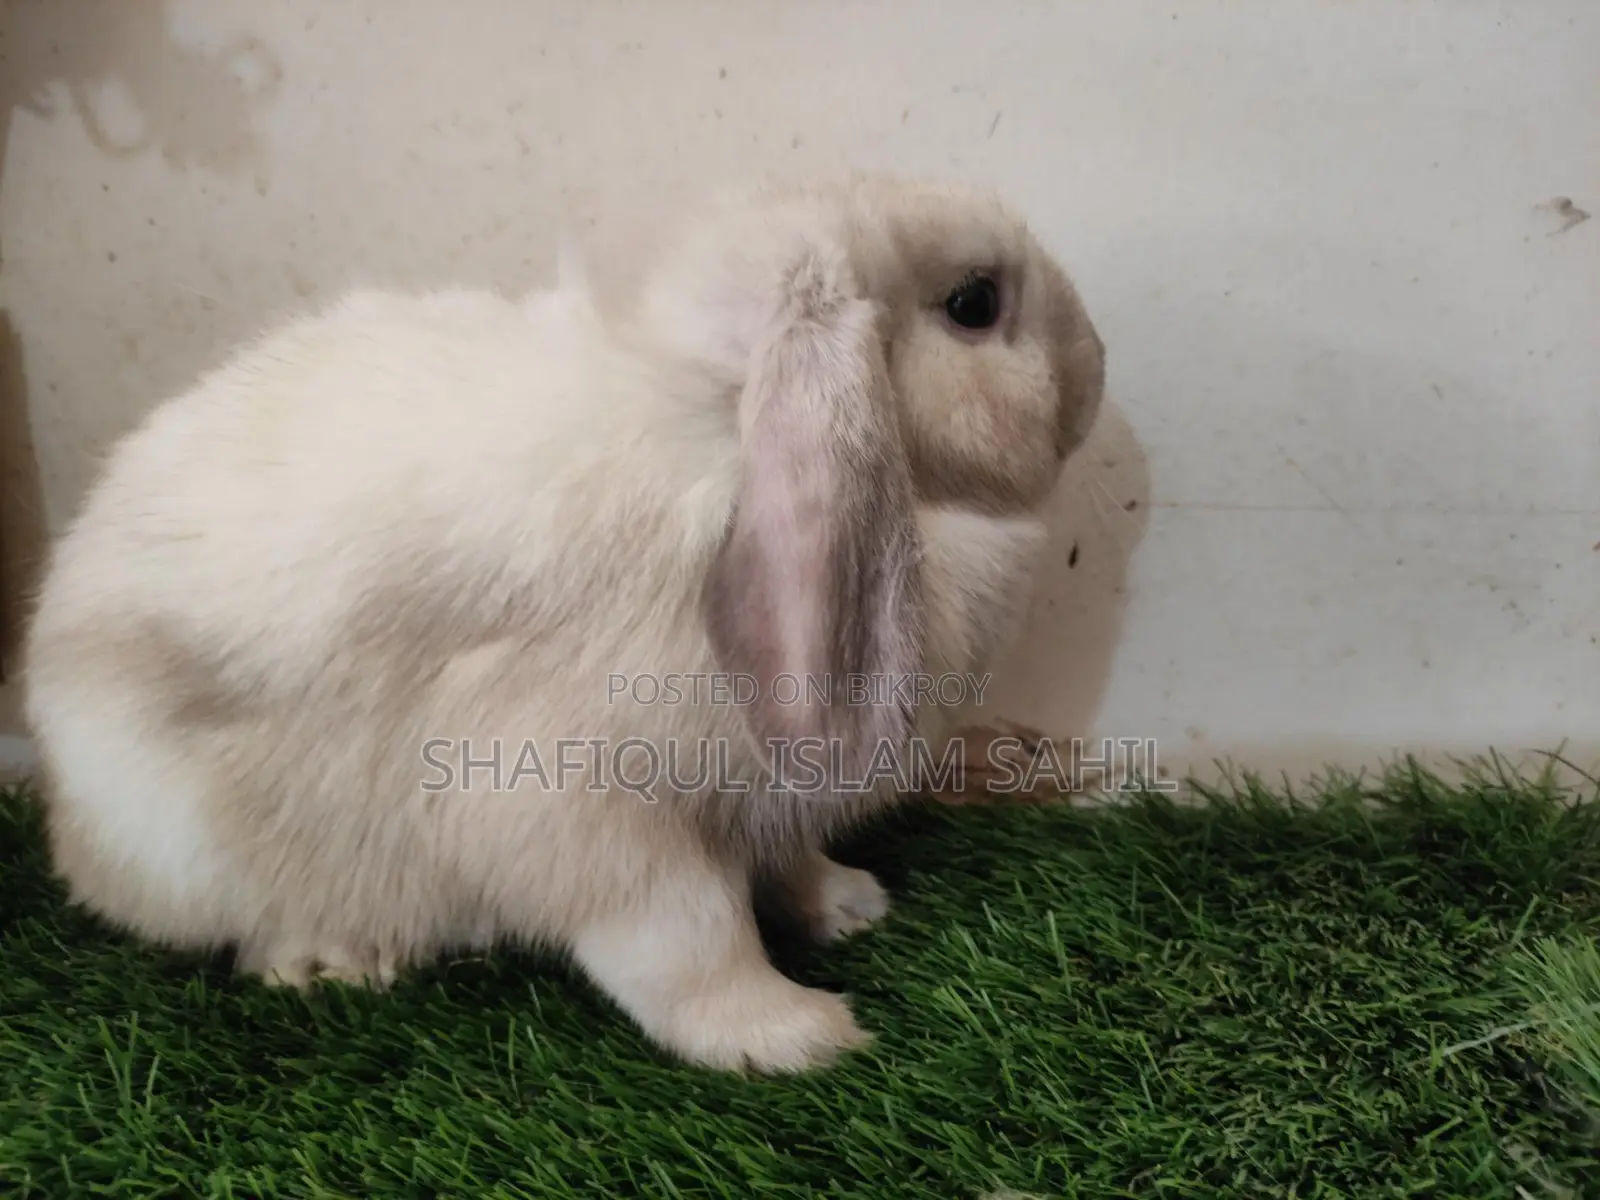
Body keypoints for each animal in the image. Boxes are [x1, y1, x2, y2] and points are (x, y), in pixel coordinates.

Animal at [20, 172, 1106, 1073]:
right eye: (975, 303)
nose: (1095, 372)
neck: (725, 428)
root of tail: (71, 825)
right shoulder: (579, 806)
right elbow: (687, 939)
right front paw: (793, 1035)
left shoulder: (761, 801)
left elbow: (786, 866)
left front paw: (847, 906)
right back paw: (333, 960)